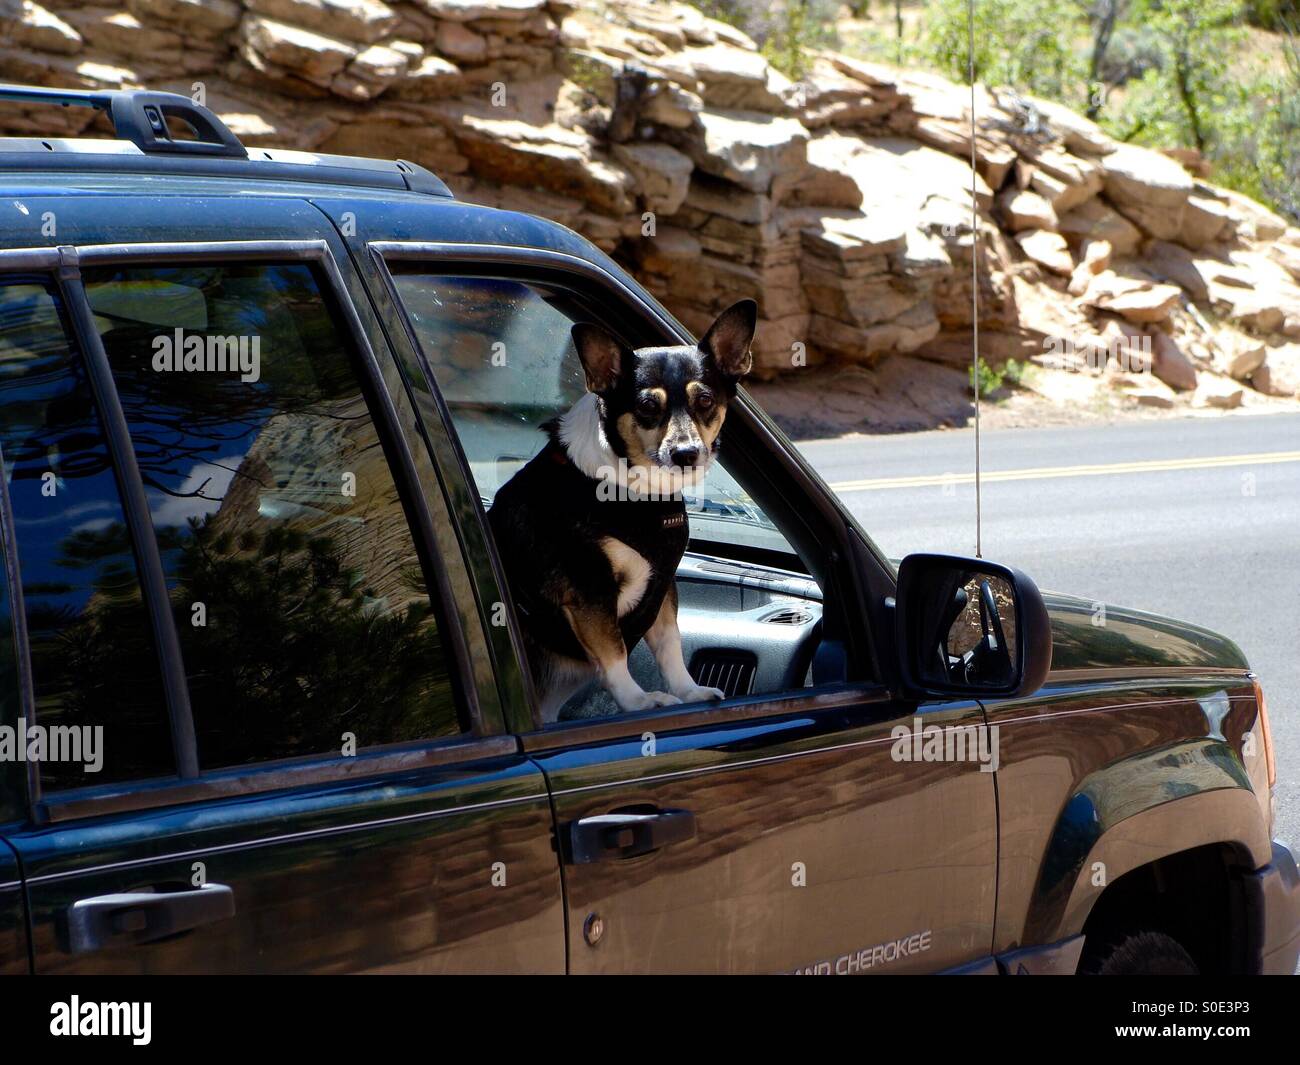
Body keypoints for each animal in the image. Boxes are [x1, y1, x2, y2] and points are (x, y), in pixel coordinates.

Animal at [483, 300, 759, 723]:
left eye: (705, 402)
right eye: (647, 406)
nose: (686, 454)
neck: (636, 496)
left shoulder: (662, 587)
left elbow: (669, 646)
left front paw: (688, 691)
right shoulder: (589, 592)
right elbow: (613, 654)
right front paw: (638, 701)